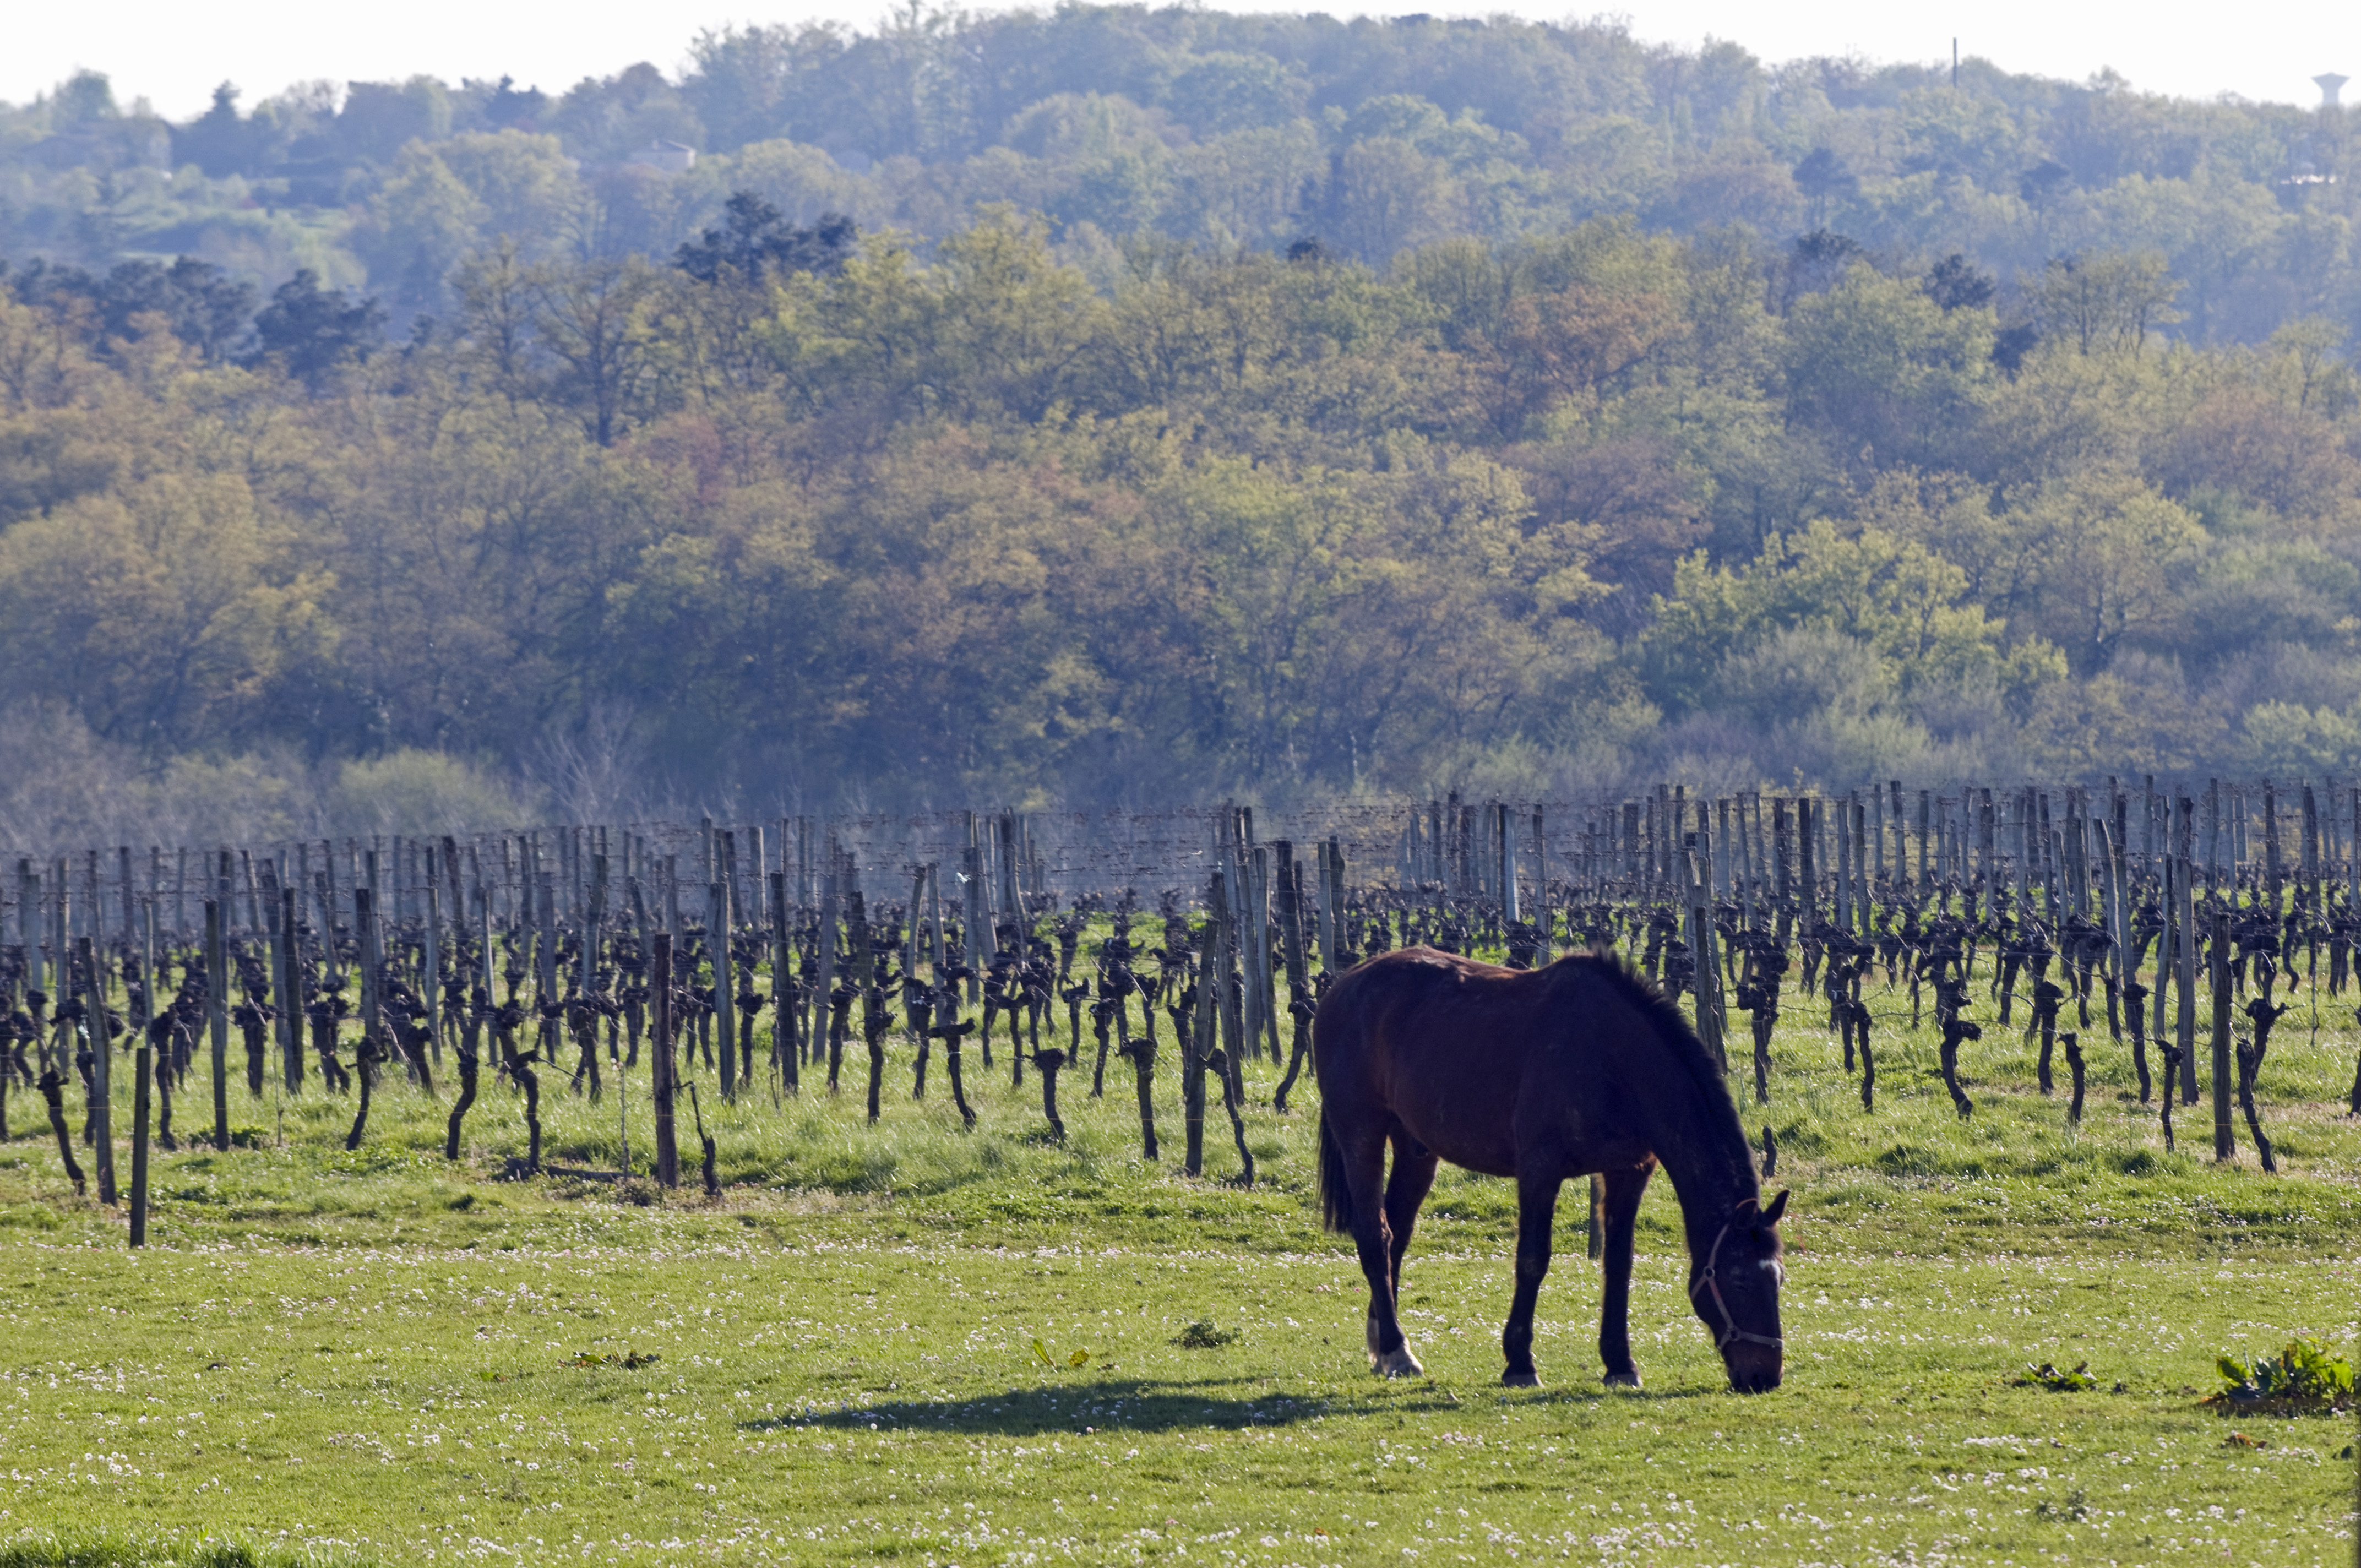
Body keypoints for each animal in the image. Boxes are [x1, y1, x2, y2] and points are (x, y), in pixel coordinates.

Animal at [1313, 949, 1785, 1389]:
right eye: (1740, 1281)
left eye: (1778, 1279)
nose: (1764, 1377)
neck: (1613, 1058)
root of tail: (1343, 987)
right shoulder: (1540, 1171)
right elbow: (1532, 1260)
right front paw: (1520, 1362)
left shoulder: (1629, 1172)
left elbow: (1619, 1264)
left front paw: (1620, 1363)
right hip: (1362, 1135)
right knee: (1376, 1236)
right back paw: (1396, 1351)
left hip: (1415, 1149)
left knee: (1397, 1233)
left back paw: (1384, 1346)